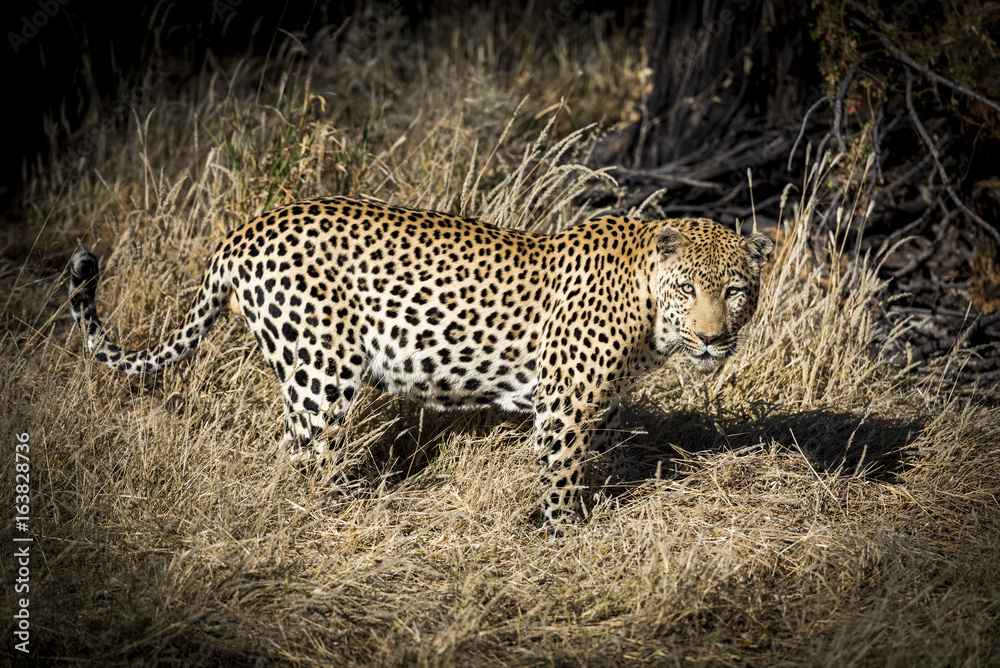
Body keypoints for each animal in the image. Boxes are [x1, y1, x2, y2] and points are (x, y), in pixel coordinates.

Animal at [68, 195, 773, 527]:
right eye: (689, 288)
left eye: (736, 290)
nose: (713, 340)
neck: (649, 312)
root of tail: (245, 230)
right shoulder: (565, 404)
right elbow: (561, 476)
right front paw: (562, 538)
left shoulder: (593, 405)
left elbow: (586, 465)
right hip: (321, 371)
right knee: (306, 457)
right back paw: (329, 523)